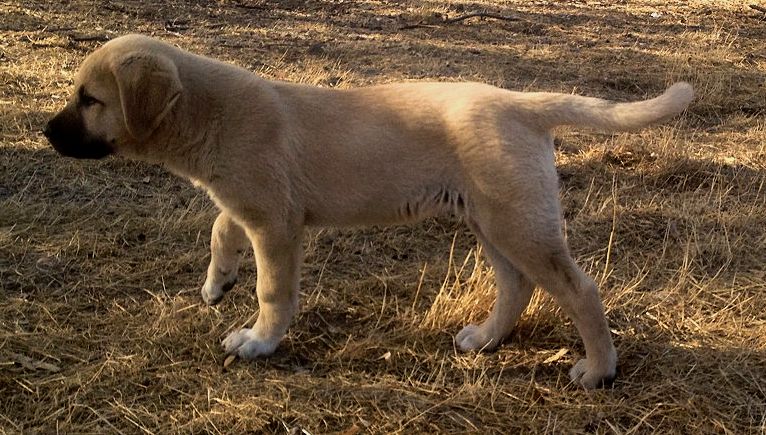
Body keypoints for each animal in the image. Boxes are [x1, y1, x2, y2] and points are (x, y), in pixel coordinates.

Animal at [46, 33, 696, 388]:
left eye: (90, 99)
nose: (46, 134)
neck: (210, 113)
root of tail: (521, 103)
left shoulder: (276, 227)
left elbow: (272, 293)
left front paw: (258, 341)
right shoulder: (252, 206)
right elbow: (218, 225)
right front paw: (217, 281)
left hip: (519, 225)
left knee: (579, 290)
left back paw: (599, 370)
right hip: (491, 223)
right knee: (516, 286)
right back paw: (486, 339)